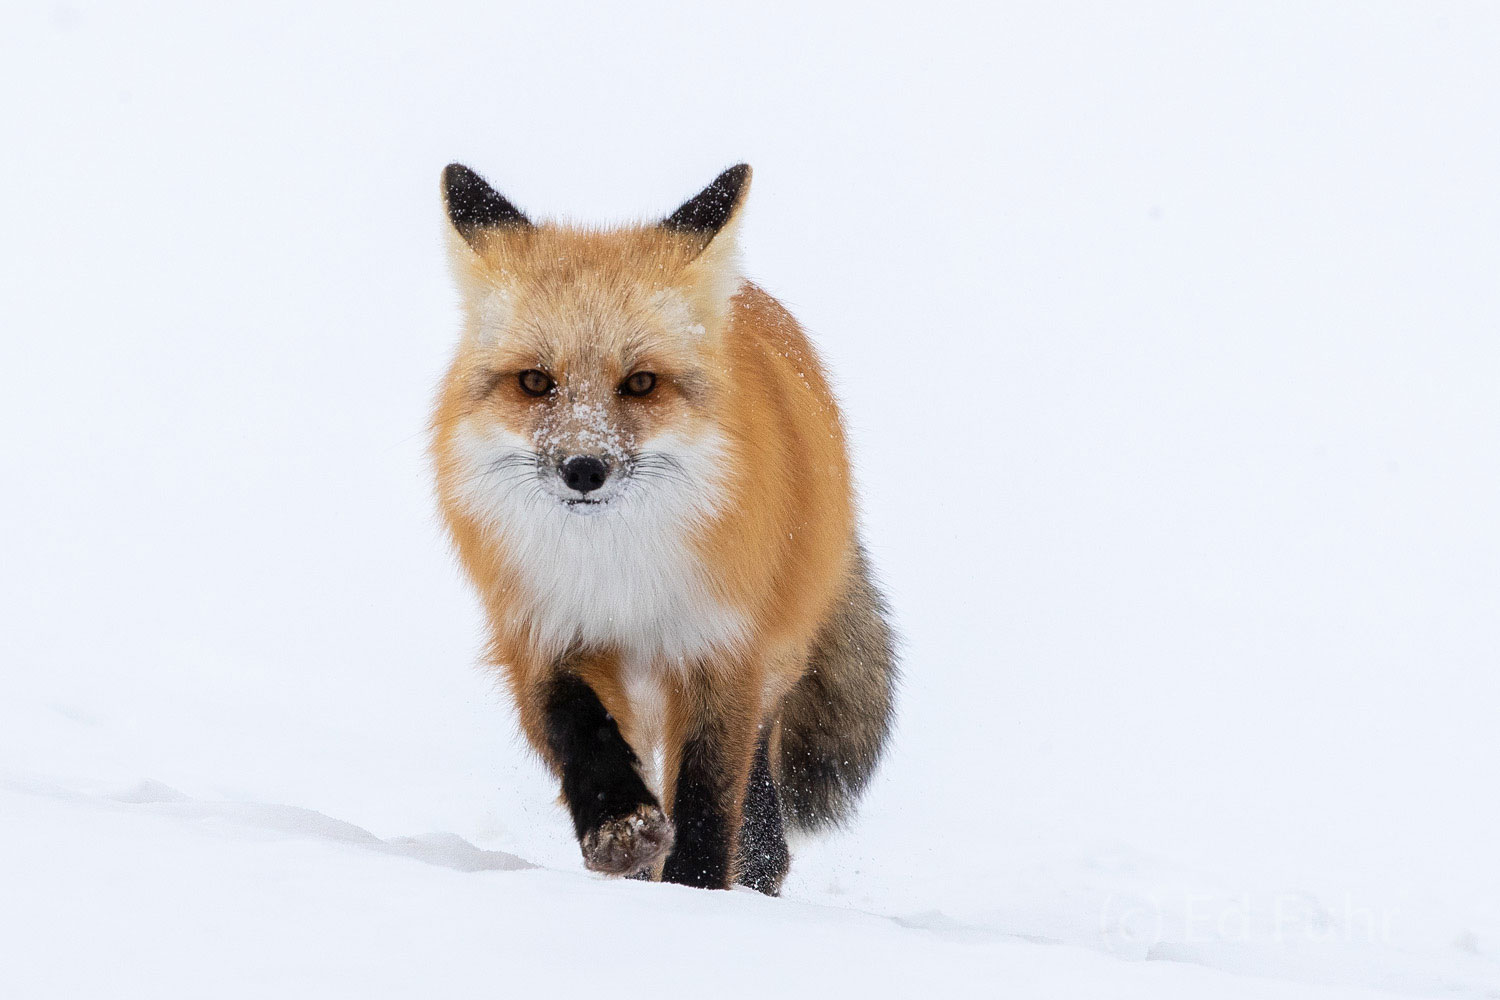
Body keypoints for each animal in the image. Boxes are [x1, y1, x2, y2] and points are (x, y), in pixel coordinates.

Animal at [435, 162, 900, 893]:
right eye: (535, 382)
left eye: (641, 383)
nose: (584, 469)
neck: (620, 574)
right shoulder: (539, 632)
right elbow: (578, 731)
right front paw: (621, 831)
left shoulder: (719, 648)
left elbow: (710, 794)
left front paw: (693, 896)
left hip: (773, 656)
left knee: (757, 779)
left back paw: (759, 867)